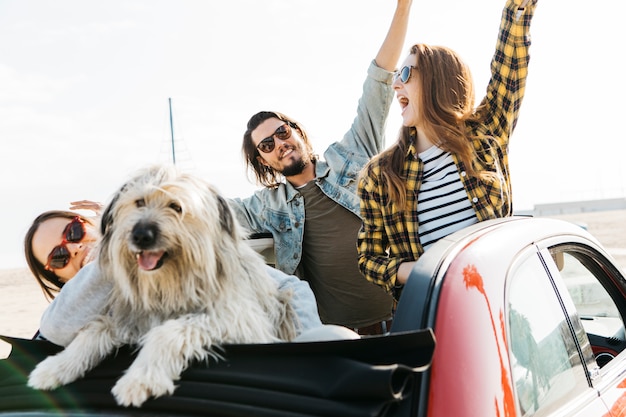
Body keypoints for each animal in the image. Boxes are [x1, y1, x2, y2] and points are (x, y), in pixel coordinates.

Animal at [29, 164, 300, 404]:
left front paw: (141, 378)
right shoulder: (132, 315)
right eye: (139, 202)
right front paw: (57, 366)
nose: (140, 235)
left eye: (176, 206)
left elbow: (167, 331)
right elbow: (94, 330)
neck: (169, 281)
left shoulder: (243, 321)